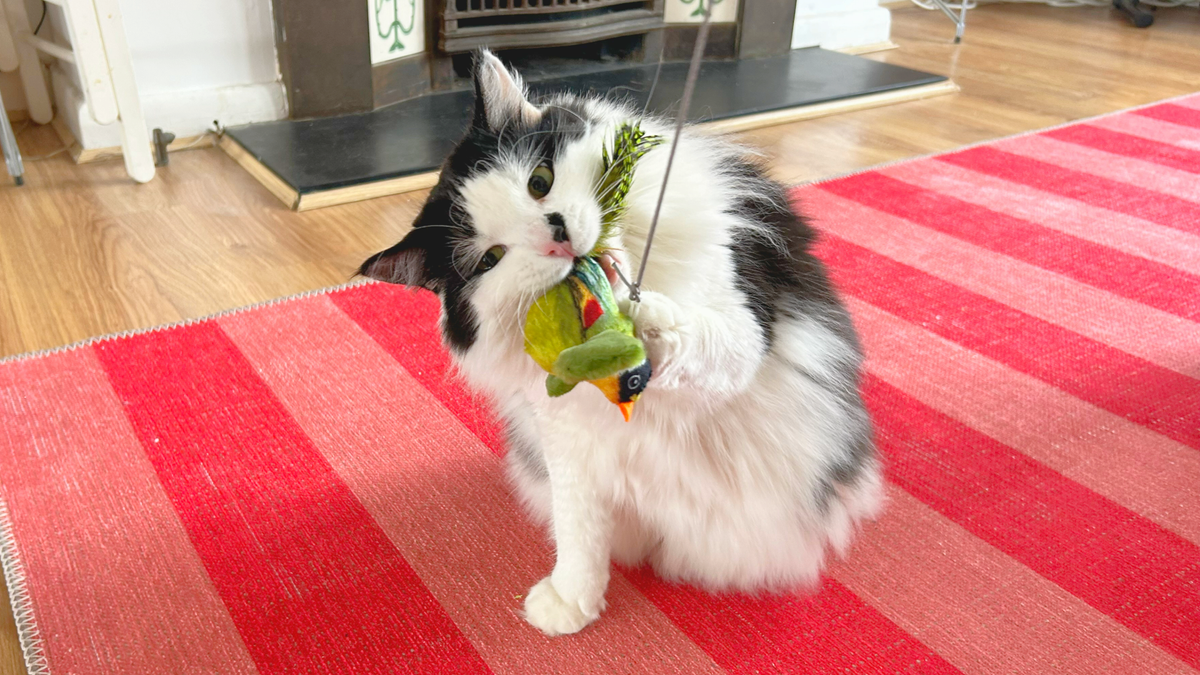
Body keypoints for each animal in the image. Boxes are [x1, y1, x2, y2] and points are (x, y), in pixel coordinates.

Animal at [355, 49, 883, 634]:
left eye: (539, 182)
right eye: (491, 259)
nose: (557, 237)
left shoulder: (741, 331)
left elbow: (694, 335)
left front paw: (637, 317)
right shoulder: (566, 438)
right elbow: (578, 533)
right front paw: (569, 603)